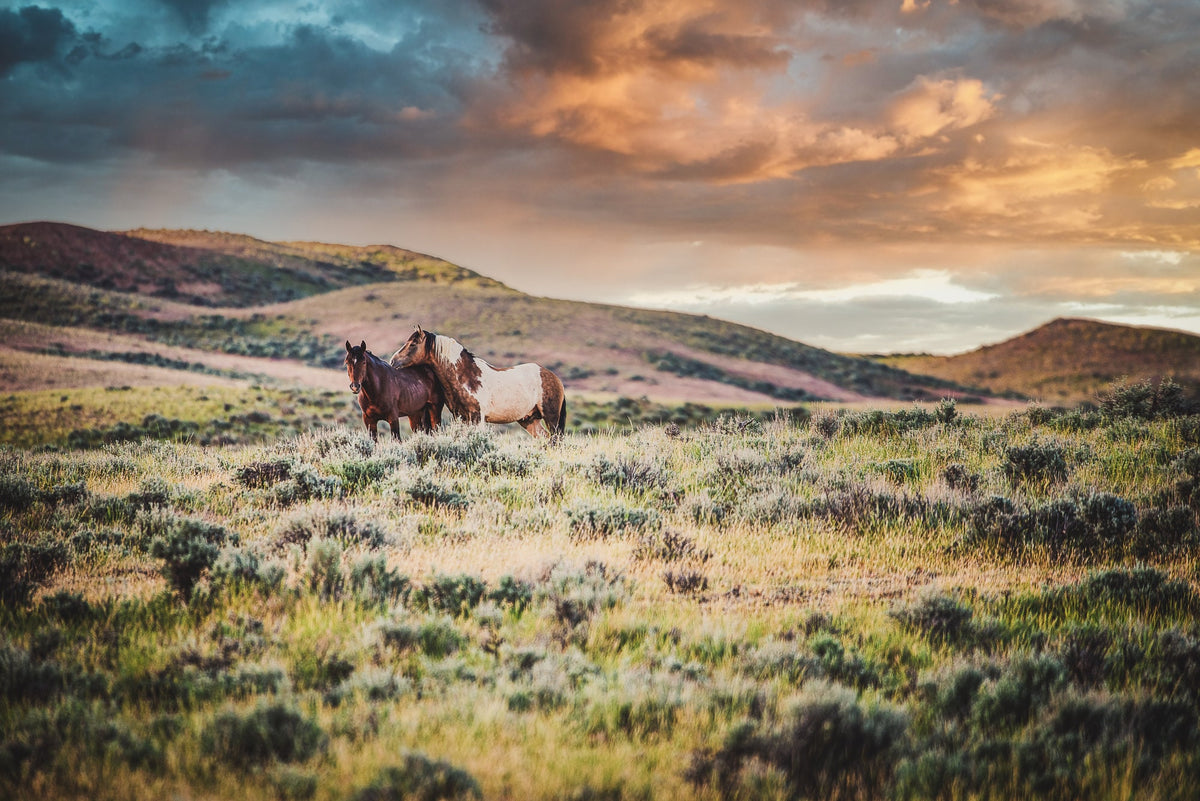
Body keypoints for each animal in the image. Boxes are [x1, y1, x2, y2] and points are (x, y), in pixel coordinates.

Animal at [390, 325, 566, 438]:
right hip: (529, 420)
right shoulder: (461, 418)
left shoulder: (477, 417)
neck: (466, 376)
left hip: (551, 418)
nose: (393, 361)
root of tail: (554, 378)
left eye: (413, 344)